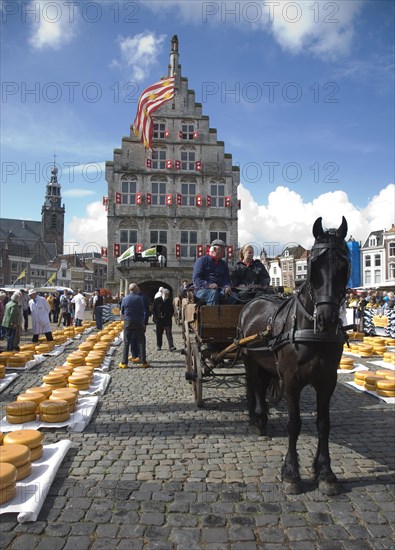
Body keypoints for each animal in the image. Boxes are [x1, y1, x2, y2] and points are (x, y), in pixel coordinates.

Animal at [238, 218, 350, 498]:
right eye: (314, 265)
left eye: (344, 264)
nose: (327, 318)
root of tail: (253, 300)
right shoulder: (291, 380)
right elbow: (294, 424)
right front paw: (291, 473)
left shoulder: (327, 381)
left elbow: (323, 423)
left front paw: (326, 473)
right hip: (250, 360)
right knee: (255, 386)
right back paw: (258, 419)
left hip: (266, 363)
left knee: (261, 386)